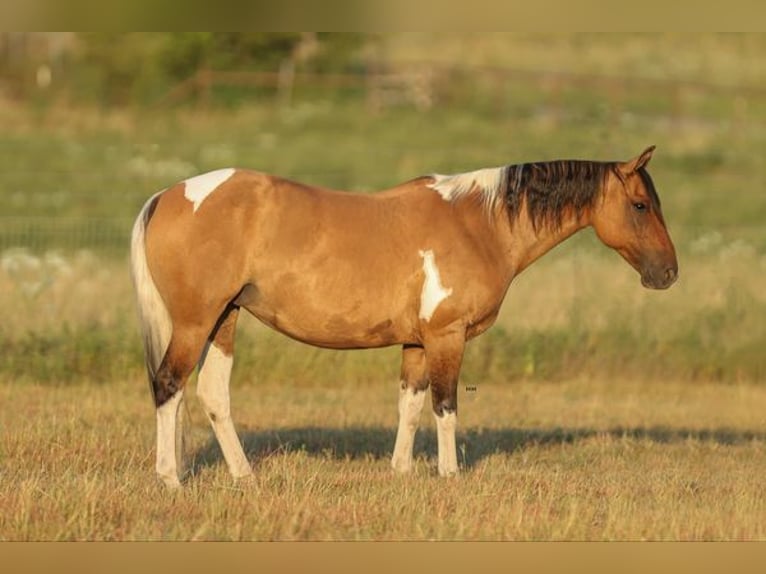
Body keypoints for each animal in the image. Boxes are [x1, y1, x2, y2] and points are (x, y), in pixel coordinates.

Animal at [130, 145, 678, 487]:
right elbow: (445, 405)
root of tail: (166, 195)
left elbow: (410, 406)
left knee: (212, 394)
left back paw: (245, 477)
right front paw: (449, 475)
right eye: (640, 204)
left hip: (225, 319)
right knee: (169, 385)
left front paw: (401, 472)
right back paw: (170, 478)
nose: (668, 273)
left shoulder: (416, 343)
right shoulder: (446, 336)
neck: (479, 224)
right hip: (196, 323)